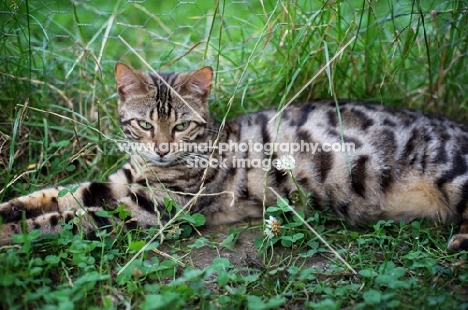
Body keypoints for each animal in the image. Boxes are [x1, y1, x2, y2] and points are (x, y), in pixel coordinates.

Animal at [0, 61, 468, 252]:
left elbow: (65, 218)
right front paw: (10, 210)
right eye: (145, 125)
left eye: (181, 126)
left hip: (452, 173)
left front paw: (11, 233)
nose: (162, 148)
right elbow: (55, 196)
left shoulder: (151, 208)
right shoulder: (120, 184)